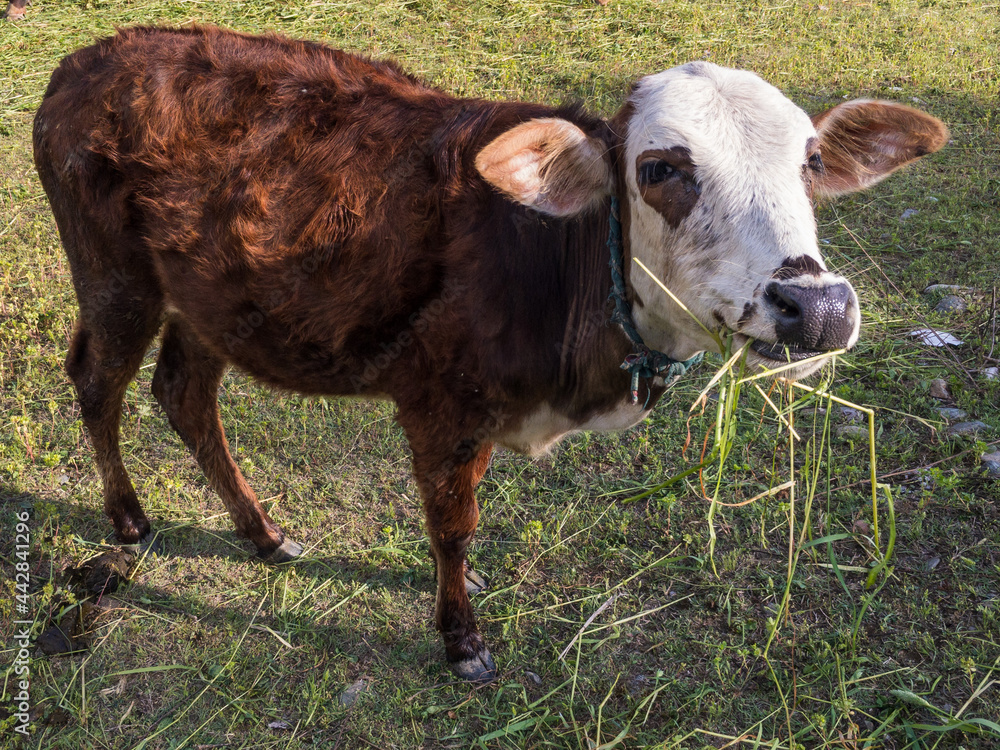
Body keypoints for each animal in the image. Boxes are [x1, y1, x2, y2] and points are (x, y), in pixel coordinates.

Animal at [35, 25, 944, 680]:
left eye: (813, 160)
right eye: (659, 168)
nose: (817, 306)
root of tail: (88, 58)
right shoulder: (441, 408)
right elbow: (453, 526)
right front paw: (461, 638)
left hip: (209, 299)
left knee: (184, 393)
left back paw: (263, 533)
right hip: (114, 277)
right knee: (97, 381)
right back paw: (128, 517)